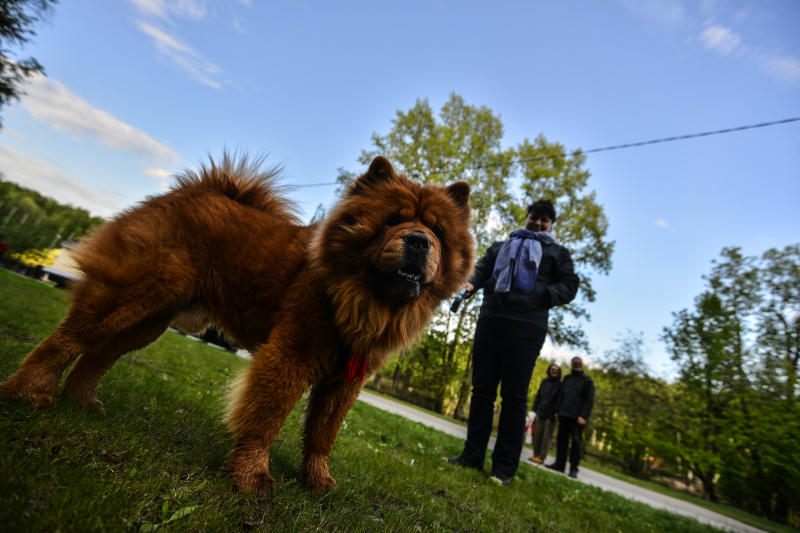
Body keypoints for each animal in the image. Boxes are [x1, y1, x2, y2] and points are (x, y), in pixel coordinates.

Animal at [0, 154, 476, 494]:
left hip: (148, 320)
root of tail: (191, 192)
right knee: (66, 340)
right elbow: (266, 417)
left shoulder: (345, 380)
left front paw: (317, 481)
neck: (362, 298)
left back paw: (82, 401)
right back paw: (30, 392)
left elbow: (323, 433)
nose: (419, 241)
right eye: (392, 220)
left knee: (98, 355)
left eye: (438, 232)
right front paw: (251, 477)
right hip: (128, 295)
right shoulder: (290, 356)